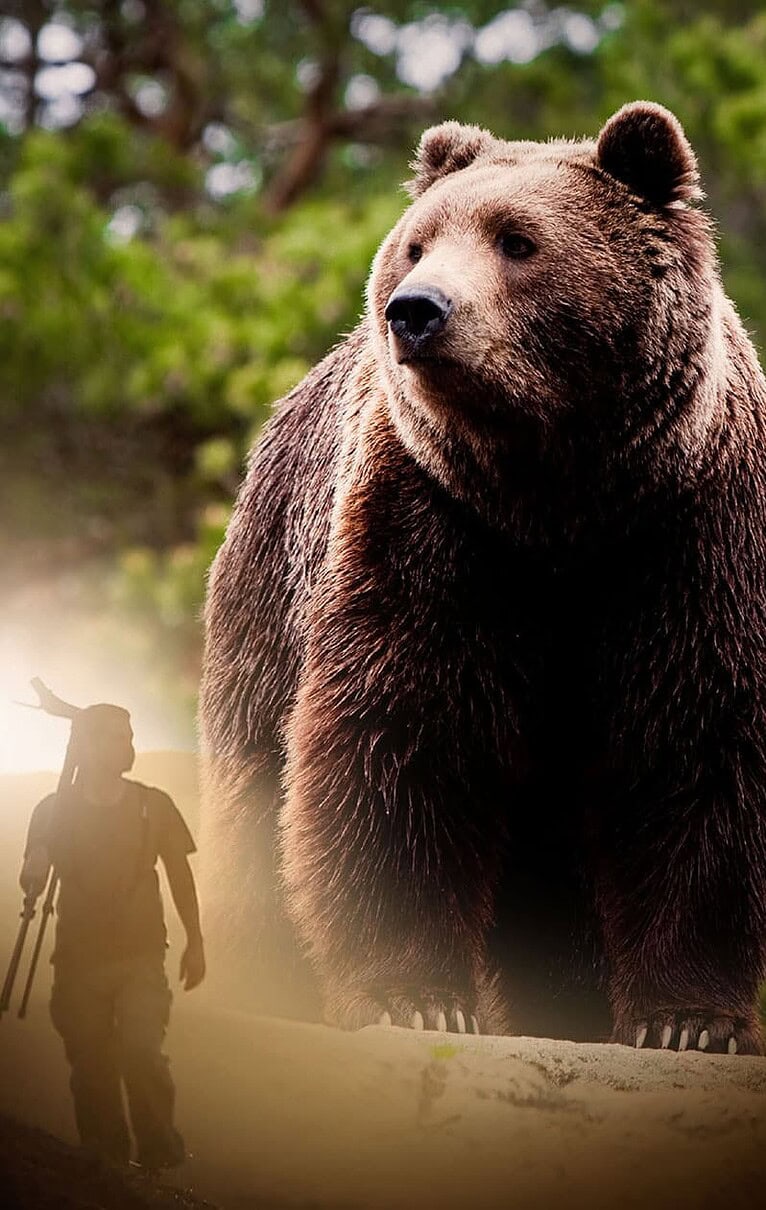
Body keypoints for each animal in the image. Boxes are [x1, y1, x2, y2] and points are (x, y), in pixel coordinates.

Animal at [200, 101, 766, 1054]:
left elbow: (702, 745)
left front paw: (691, 1019)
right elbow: (401, 732)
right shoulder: (434, 527)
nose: (415, 311)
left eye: (518, 241)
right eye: (417, 244)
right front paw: (416, 994)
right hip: (270, 598)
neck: (562, 499)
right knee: (252, 784)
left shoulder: (695, 537)